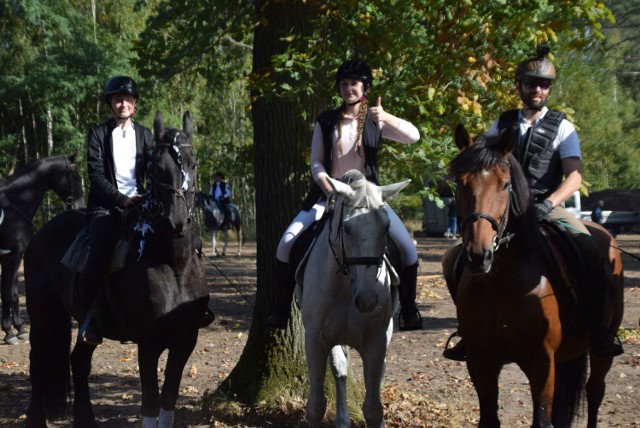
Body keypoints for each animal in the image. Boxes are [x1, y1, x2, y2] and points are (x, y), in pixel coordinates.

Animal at [0, 154, 84, 344]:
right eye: (75, 176)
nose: (80, 206)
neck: (15, 204)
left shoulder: (11, 257)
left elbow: (13, 294)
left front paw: (19, 329)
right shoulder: (12, 256)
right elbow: (8, 294)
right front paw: (9, 333)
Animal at [25, 113, 209, 428]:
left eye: (193, 162)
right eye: (156, 166)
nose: (177, 222)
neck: (175, 267)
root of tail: (39, 236)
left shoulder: (185, 341)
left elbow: (169, 398)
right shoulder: (148, 344)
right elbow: (150, 400)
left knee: (78, 361)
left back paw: (86, 420)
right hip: (42, 315)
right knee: (37, 363)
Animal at [296, 169, 408, 426]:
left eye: (386, 228)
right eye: (347, 229)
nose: (368, 300)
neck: (346, 287)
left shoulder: (377, 341)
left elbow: (373, 409)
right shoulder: (315, 340)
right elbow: (316, 405)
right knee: (340, 369)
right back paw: (342, 419)